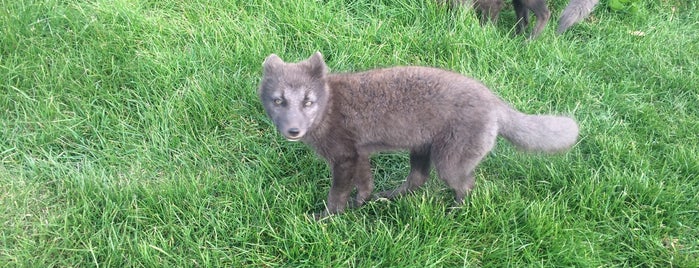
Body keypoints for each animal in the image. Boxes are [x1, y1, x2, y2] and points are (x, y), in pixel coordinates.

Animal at [258, 52, 580, 218]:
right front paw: (361, 204)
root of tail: (494, 100)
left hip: (450, 162)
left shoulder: (344, 157)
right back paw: (389, 198)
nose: (293, 130)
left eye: (308, 102)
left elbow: (337, 194)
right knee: (417, 180)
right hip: (421, 147)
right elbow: (364, 184)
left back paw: (454, 213)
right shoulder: (359, 153)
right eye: (278, 101)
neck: (329, 106)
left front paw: (325, 220)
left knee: (466, 185)